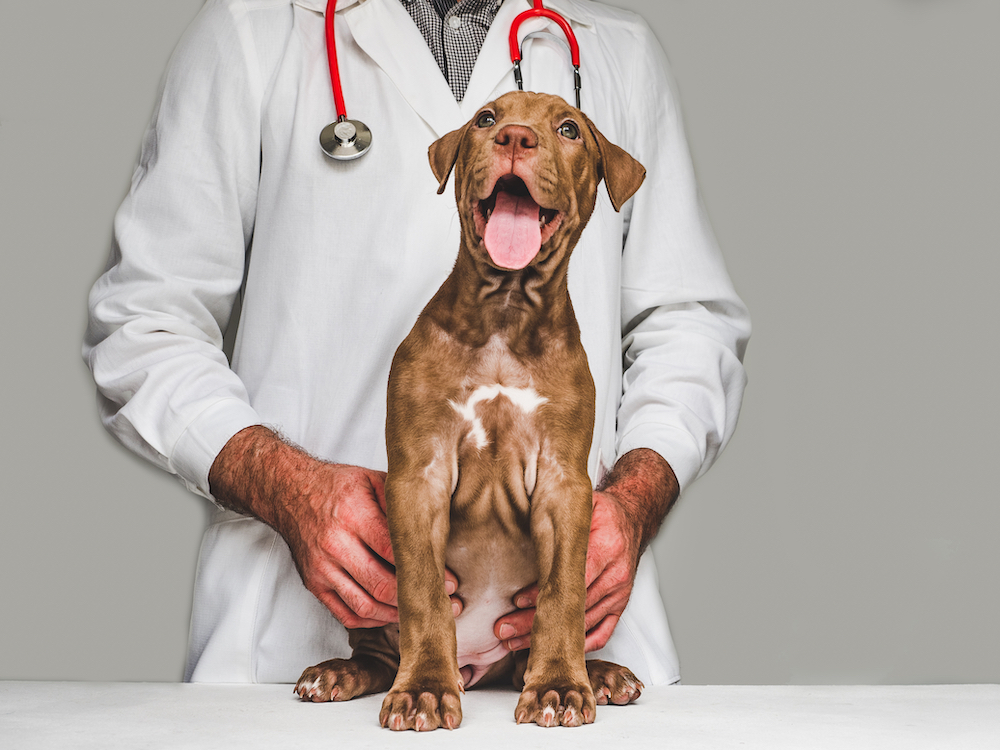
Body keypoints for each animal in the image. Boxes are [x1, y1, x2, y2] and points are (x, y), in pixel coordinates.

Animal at [290, 91, 648, 732]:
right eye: (485, 119)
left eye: (569, 130)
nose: (515, 137)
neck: (505, 312)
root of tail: (480, 669)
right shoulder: (418, 477)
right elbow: (425, 594)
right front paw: (424, 690)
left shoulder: (564, 484)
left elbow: (562, 594)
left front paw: (560, 685)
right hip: (376, 622)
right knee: (377, 653)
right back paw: (339, 674)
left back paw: (601, 674)